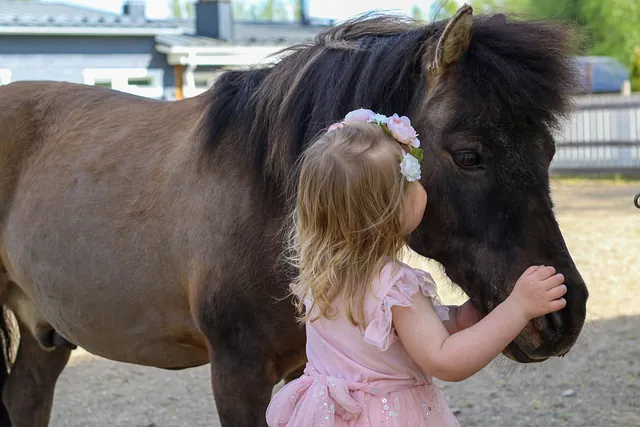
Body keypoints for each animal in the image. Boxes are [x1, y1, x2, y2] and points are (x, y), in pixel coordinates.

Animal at [0, 6, 592, 427]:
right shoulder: (237, 376)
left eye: (548, 152)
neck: (265, 199)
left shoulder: (301, 368)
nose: (565, 315)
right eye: (469, 156)